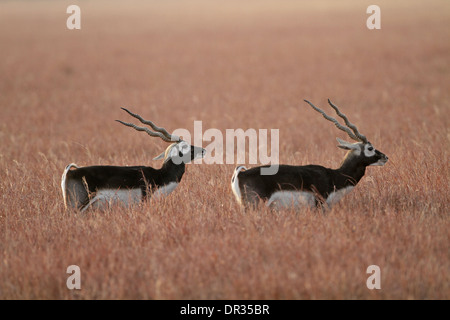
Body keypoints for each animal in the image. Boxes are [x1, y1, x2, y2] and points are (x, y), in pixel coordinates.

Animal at [230, 100, 388, 210]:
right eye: (370, 148)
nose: (385, 157)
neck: (334, 176)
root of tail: (240, 174)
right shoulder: (320, 205)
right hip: (254, 205)